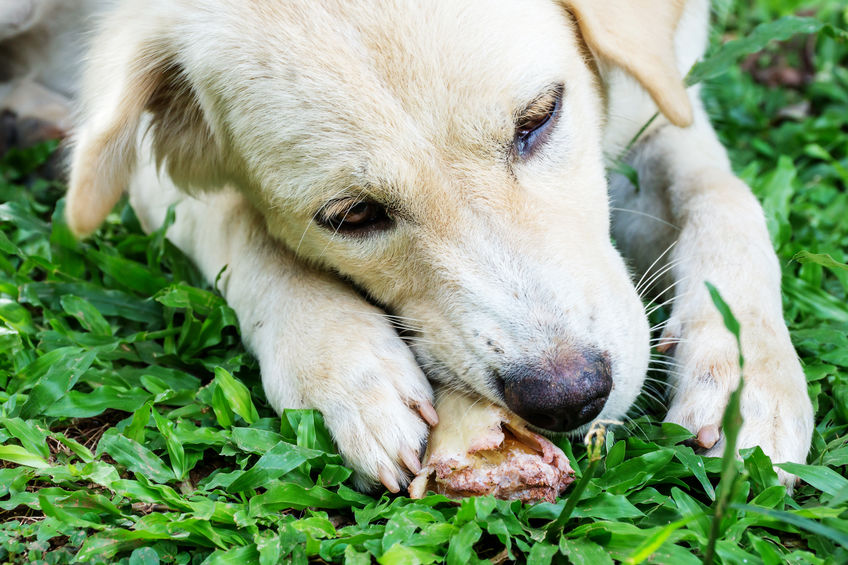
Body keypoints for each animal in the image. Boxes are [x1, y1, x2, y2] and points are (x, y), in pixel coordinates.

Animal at [1, 0, 816, 490]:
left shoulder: (661, 98)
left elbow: (725, 200)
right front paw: (348, 370)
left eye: (540, 117)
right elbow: (243, 227)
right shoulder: (150, 171)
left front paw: (746, 375)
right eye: (352, 215)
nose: (569, 398)